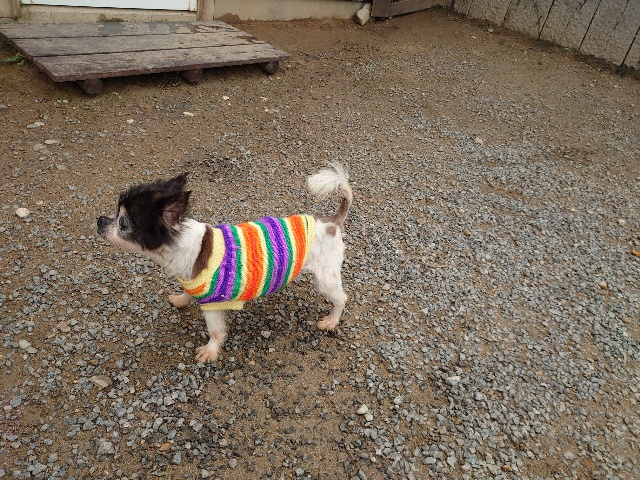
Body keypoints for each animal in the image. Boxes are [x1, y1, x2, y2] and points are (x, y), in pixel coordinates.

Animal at [97, 163, 352, 363]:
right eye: (115, 213)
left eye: (123, 223)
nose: (99, 220)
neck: (192, 247)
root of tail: (332, 221)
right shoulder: (193, 283)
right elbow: (187, 293)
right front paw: (181, 300)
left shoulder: (213, 305)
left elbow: (216, 332)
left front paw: (210, 351)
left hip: (325, 280)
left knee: (341, 299)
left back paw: (331, 321)